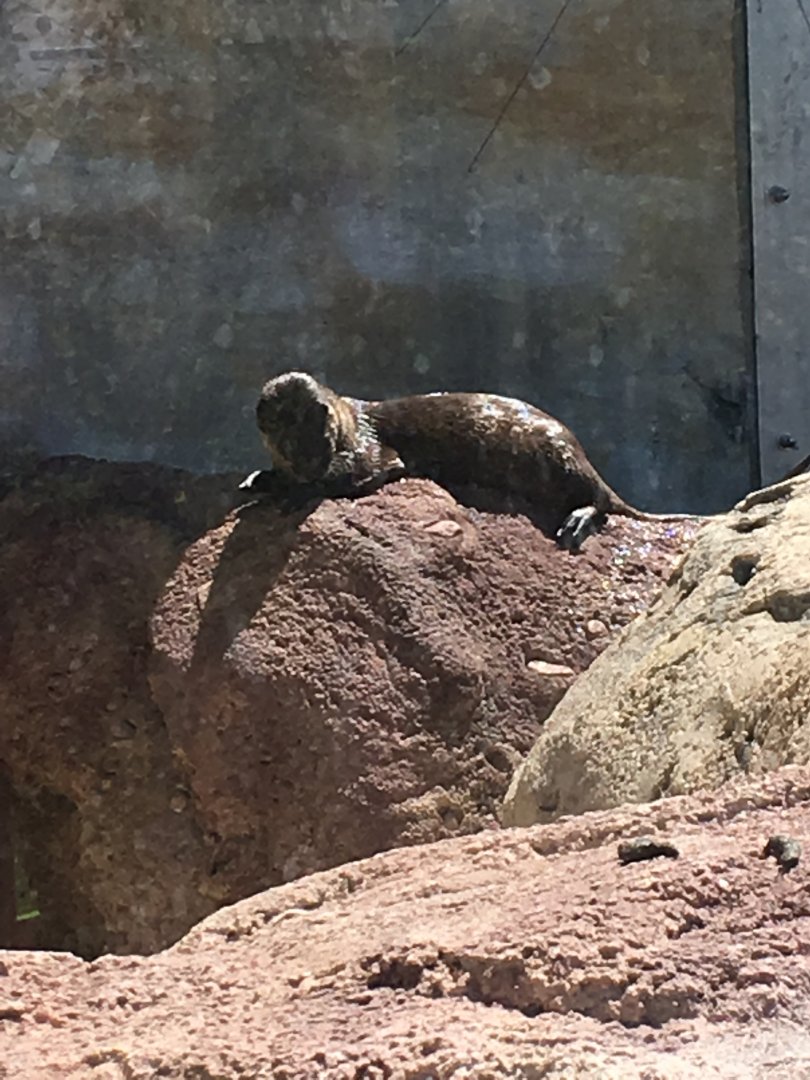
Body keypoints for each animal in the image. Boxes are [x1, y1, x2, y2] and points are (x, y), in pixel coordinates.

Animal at [240, 371, 695, 551]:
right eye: (288, 443)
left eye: (322, 438)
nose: (310, 464)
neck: (352, 423)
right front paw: (260, 479)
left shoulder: (371, 452)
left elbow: (365, 471)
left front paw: (289, 490)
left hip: (561, 456)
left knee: (600, 500)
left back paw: (576, 521)